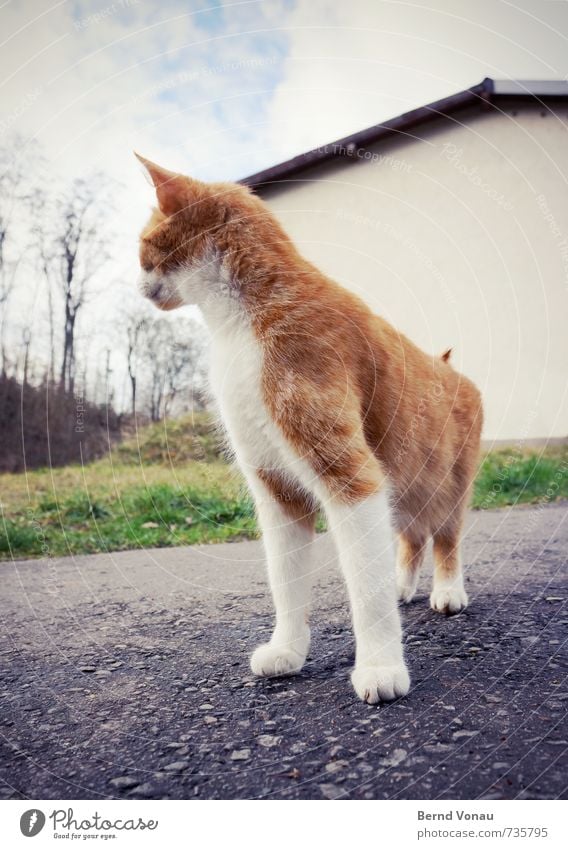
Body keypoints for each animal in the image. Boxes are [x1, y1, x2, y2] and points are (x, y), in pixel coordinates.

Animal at [134, 152, 484, 704]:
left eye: (142, 245)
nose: (136, 284)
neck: (239, 325)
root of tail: (447, 366)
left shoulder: (351, 475)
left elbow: (365, 587)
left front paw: (380, 667)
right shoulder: (276, 488)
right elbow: (285, 579)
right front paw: (288, 650)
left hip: (446, 485)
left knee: (445, 537)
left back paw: (447, 591)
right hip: (404, 487)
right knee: (411, 537)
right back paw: (403, 585)